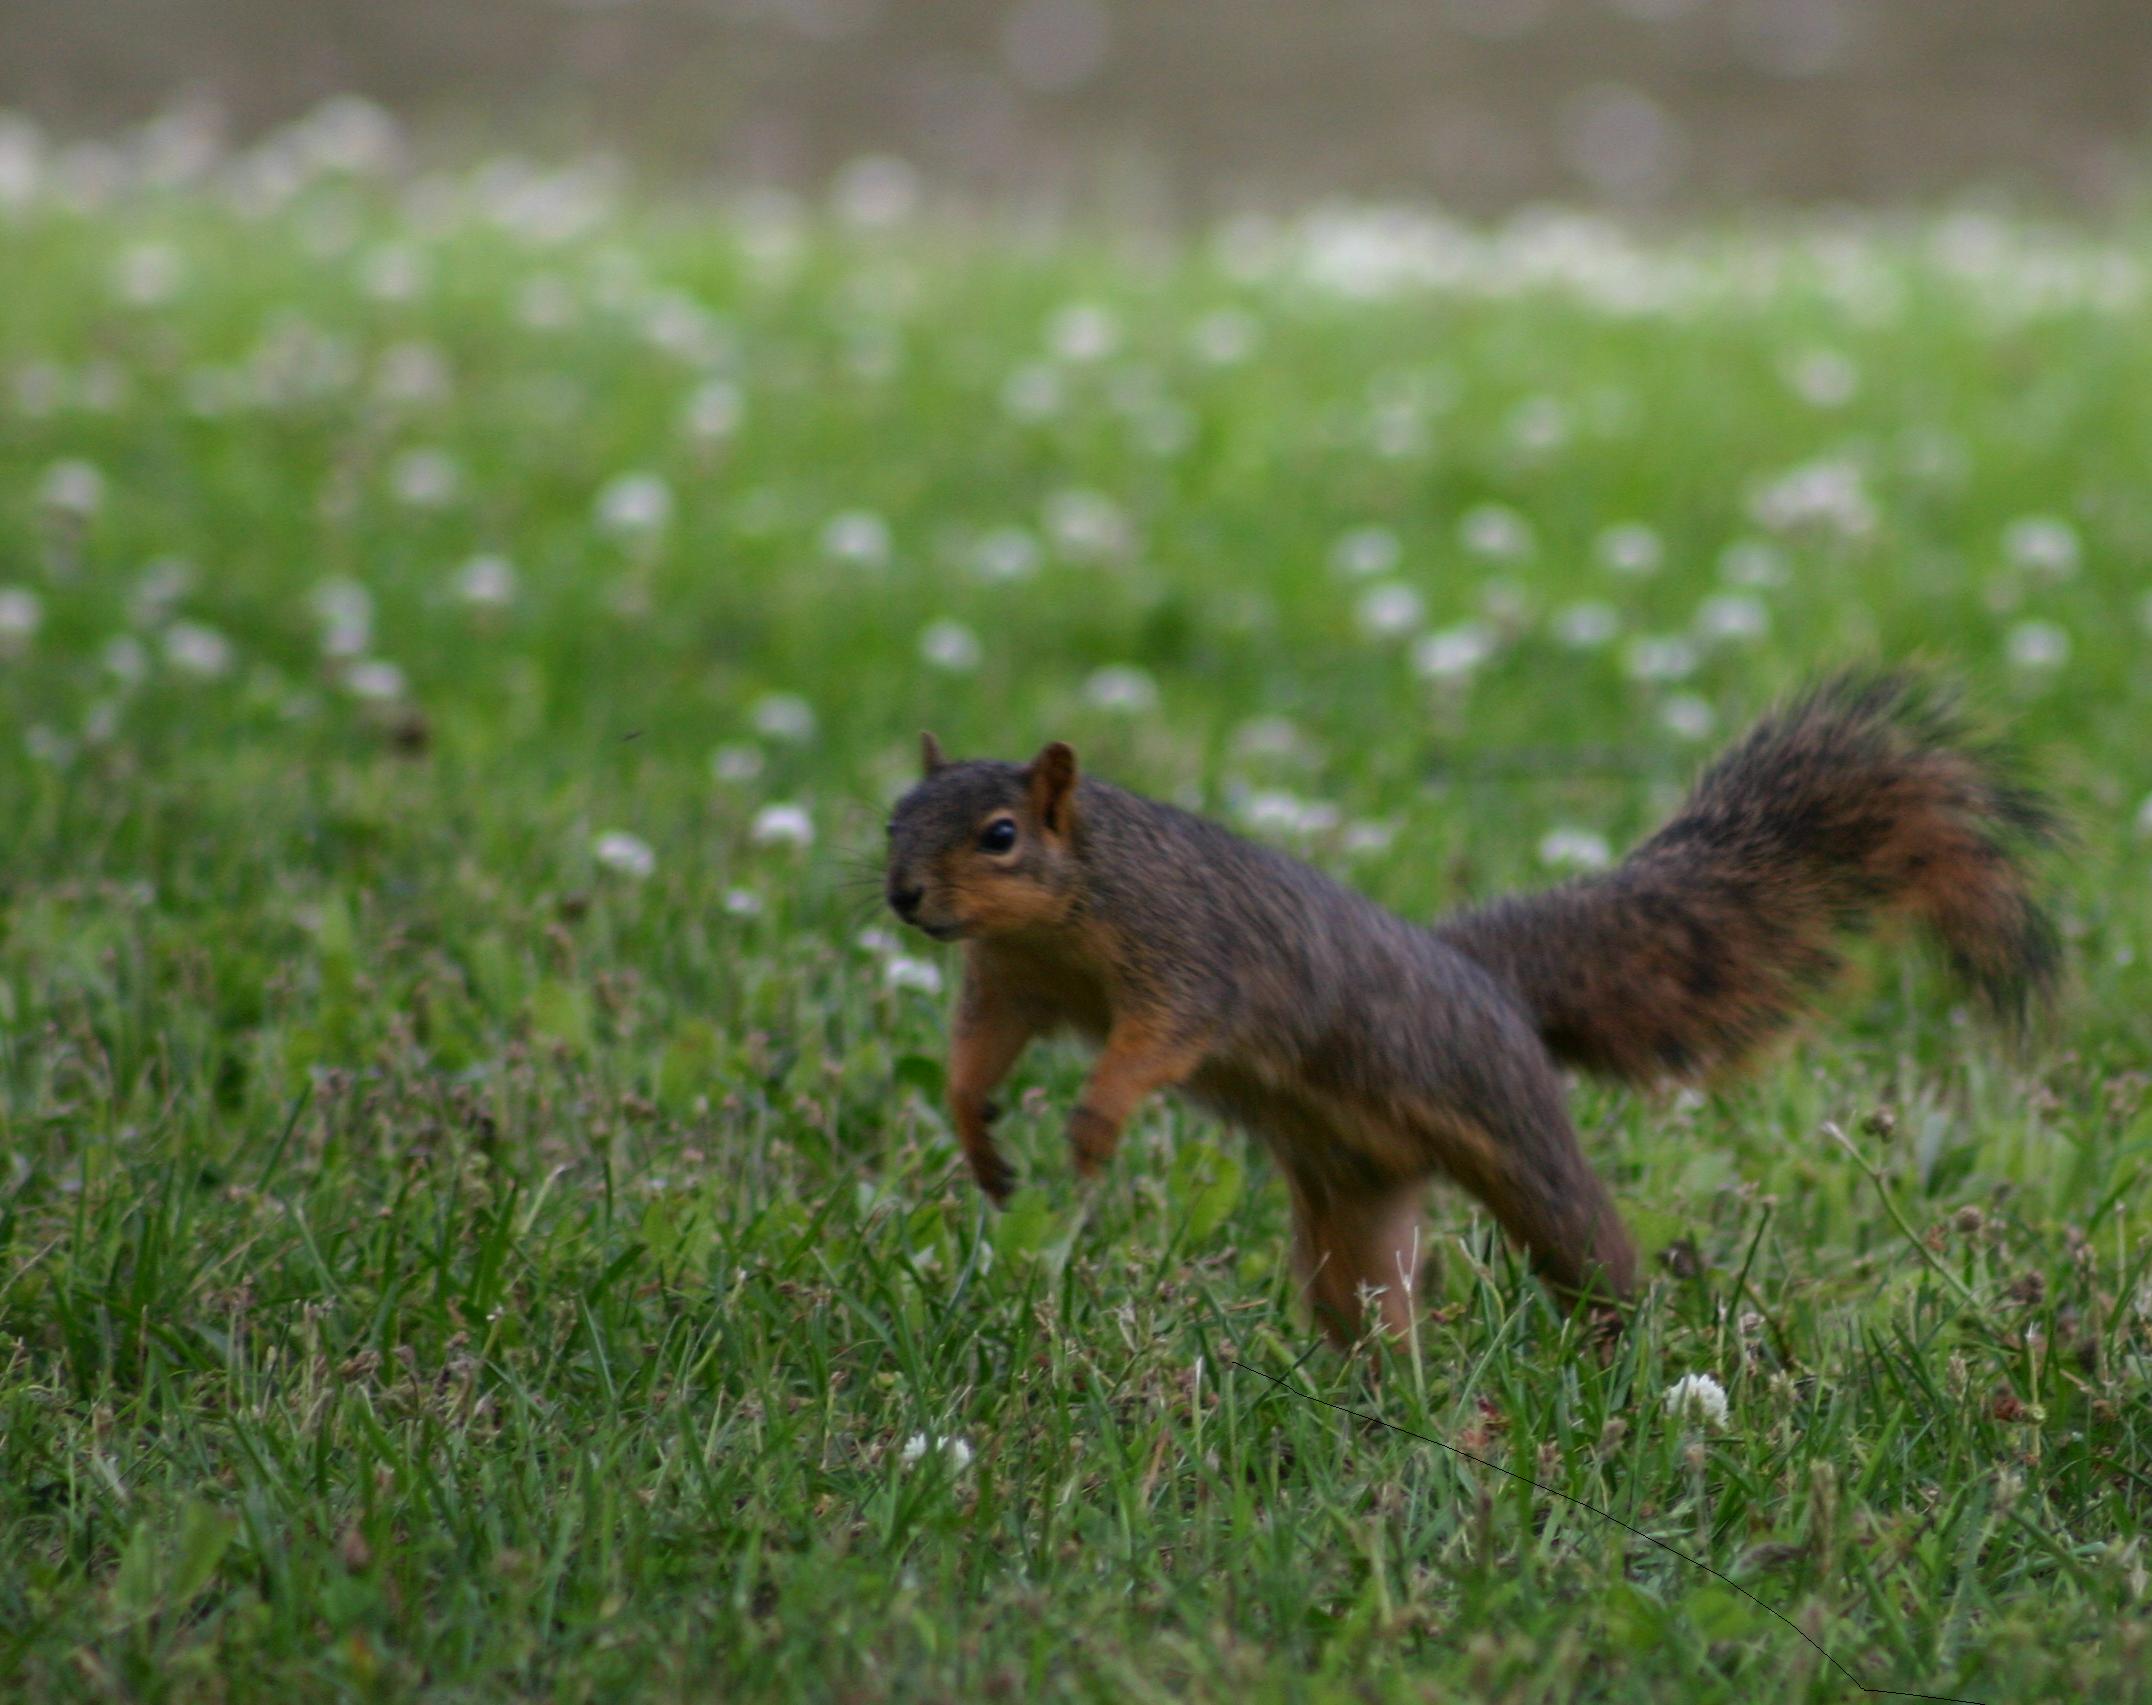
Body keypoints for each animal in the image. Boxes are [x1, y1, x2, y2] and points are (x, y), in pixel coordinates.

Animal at [883, 670, 2060, 1344]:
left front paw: (1093, 1123)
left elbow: (1155, 1041)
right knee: (1362, 1294)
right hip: (1352, 1192)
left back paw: (1625, 1352)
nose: (903, 897)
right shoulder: (1013, 981)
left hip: (1511, 1125)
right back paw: (1375, 1392)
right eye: (895, 816)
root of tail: (1485, 984)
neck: (1071, 906)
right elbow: (977, 1052)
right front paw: (976, 1136)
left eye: (999, 835)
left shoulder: (1189, 958)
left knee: (1586, 1240)